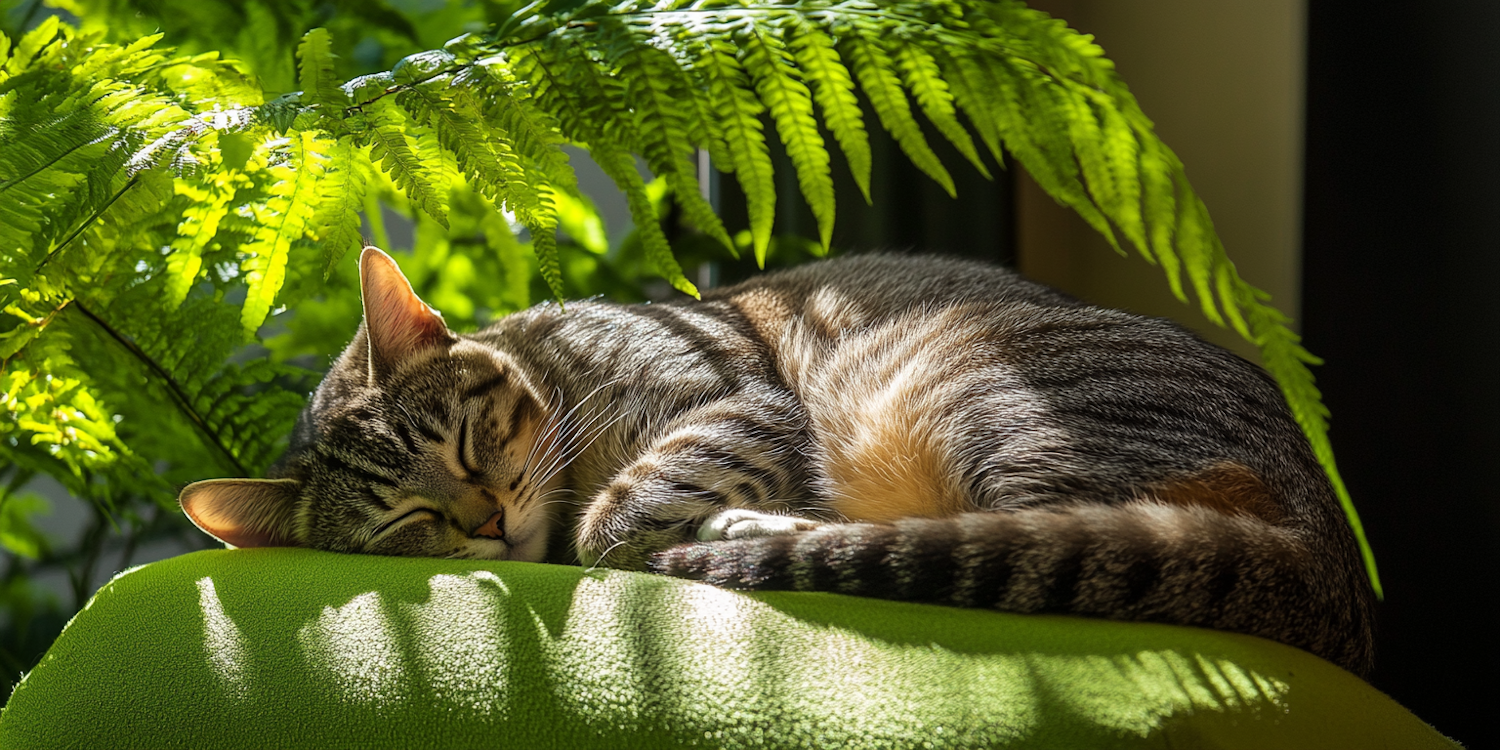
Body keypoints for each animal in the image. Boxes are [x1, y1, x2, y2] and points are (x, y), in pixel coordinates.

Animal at [175, 247, 1374, 681]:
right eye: (401, 526)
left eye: (460, 443)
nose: (482, 524)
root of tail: (1329, 565)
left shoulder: (743, 407)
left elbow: (613, 519)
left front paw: (611, 532)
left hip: (968, 393)